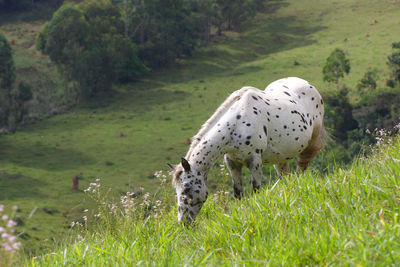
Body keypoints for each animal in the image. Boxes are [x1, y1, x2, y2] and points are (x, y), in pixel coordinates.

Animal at [168, 77, 324, 224]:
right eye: (176, 190)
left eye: (187, 188)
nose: (183, 222)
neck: (237, 123)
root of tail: (306, 84)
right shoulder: (232, 162)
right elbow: (238, 193)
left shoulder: (255, 161)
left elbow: (255, 190)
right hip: (280, 158)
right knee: (286, 177)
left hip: (309, 146)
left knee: (300, 171)